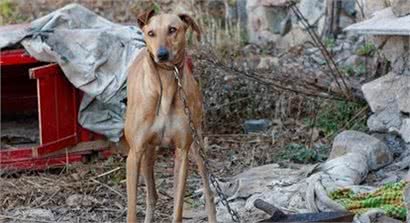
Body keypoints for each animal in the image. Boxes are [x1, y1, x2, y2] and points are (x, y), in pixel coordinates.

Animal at [125, 9, 218, 222]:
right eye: (151, 33)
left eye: (172, 29)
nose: (162, 54)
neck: (166, 82)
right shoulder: (134, 153)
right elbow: (132, 211)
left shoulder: (182, 152)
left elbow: (178, 209)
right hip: (147, 153)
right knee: (152, 195)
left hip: (197, 145)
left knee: (208, 192)